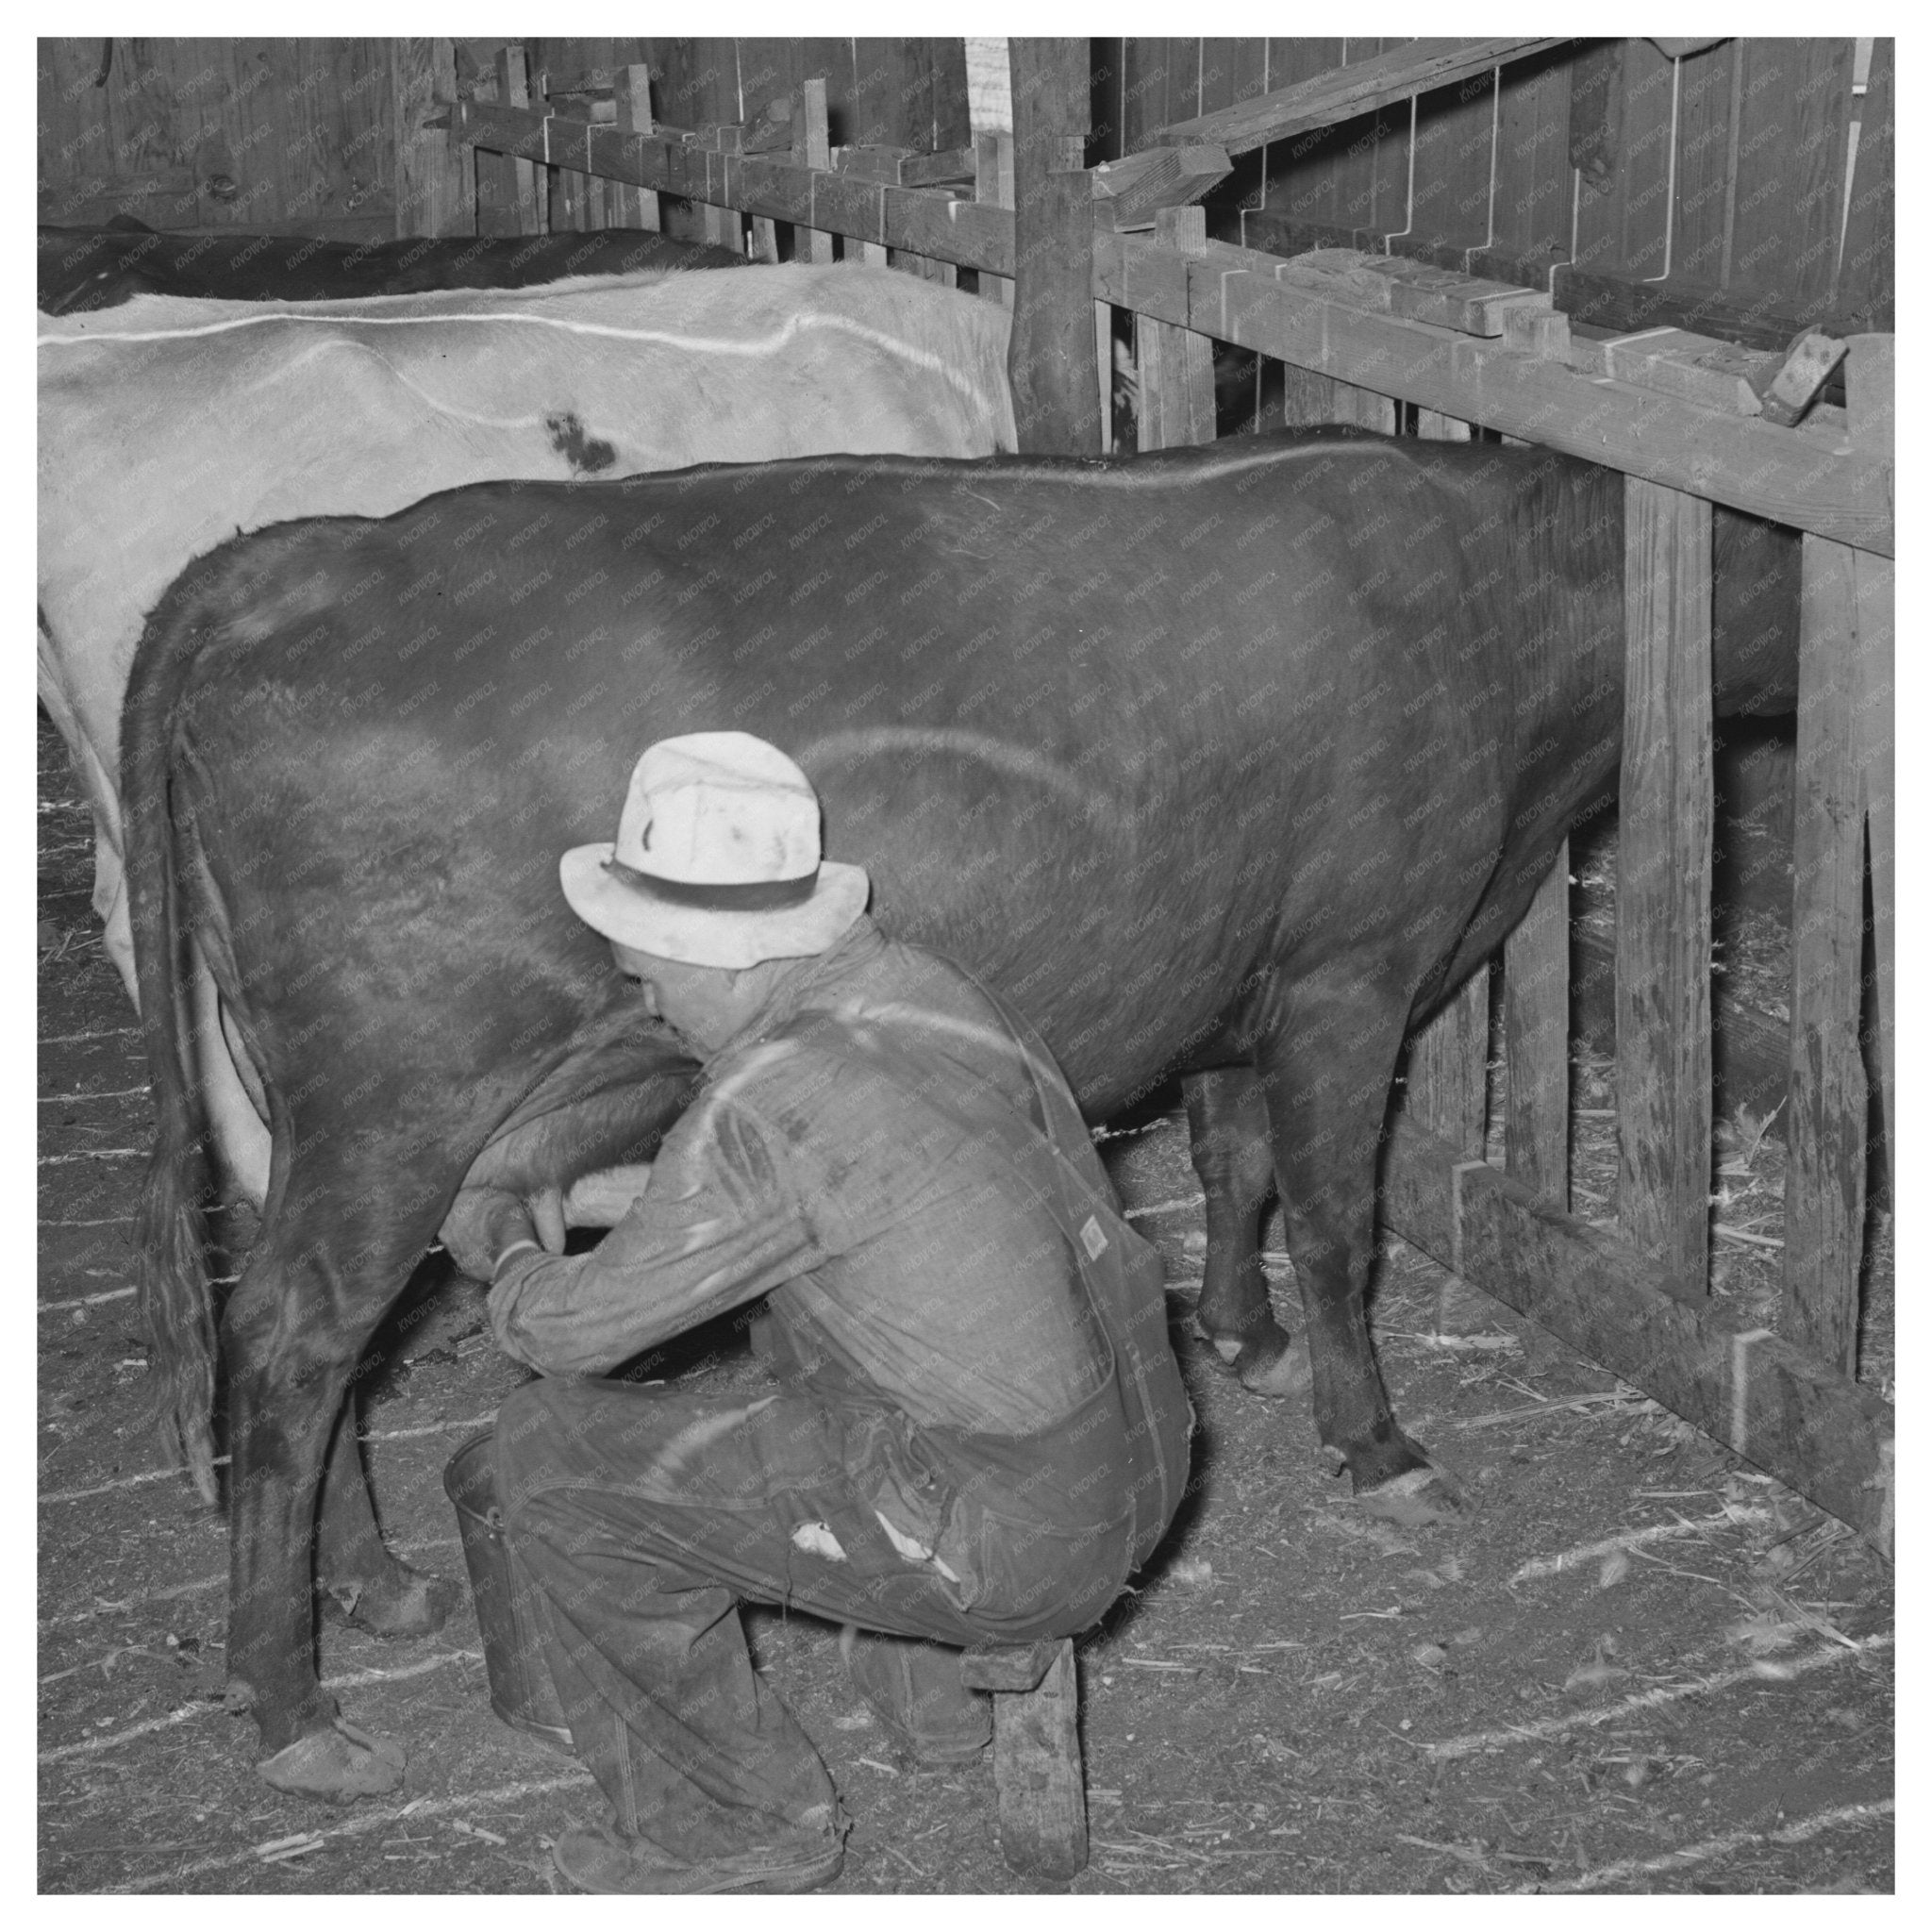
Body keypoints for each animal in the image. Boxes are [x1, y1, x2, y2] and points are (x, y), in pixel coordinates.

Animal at [121, 428, 1799, 1796]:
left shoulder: (1235, 974)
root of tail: (300, 554)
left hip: (322, 1113)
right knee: (294, 1339)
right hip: (397, 1100)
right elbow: (1338, 1221)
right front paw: (1378, 1445)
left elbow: (1235, 1162)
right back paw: (292, 1706)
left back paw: (369, 1585)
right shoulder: (1352, 973)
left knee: (322, 1342)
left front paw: (1240, 1335)